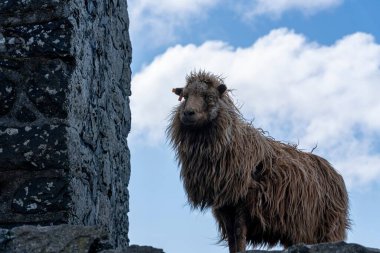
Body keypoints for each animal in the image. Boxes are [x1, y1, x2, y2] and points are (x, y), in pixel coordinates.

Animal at [168, 70, 352, 252]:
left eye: (210, 97)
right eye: (184, 96)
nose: (188, 113)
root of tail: (335, 172)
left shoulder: (243, 202)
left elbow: (239, 235)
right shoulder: (224, 206)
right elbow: (232, 239)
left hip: (328, 226)